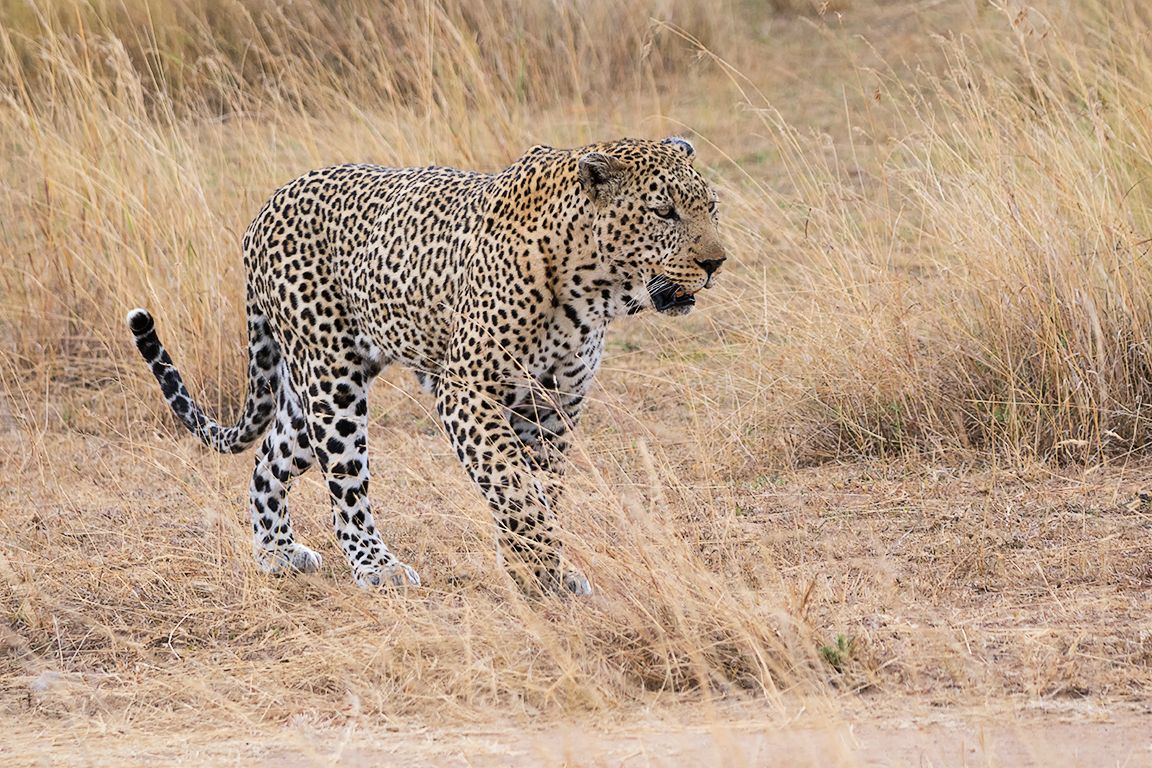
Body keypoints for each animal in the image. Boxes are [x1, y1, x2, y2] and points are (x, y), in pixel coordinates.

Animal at [127, 136, 726, 595]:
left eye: (711, 207)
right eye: (664, 212)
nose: (716, 262)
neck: (591, 287)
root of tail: (267, 204)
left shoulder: (555, 406)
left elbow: (543, 491)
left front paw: (534, 569)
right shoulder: (468, 390)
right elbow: (513, 487)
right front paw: (542, 572)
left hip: (313, 387)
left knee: (269, 458)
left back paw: (276, 552)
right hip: (332, 383)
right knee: (345, 484)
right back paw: (376, 568)